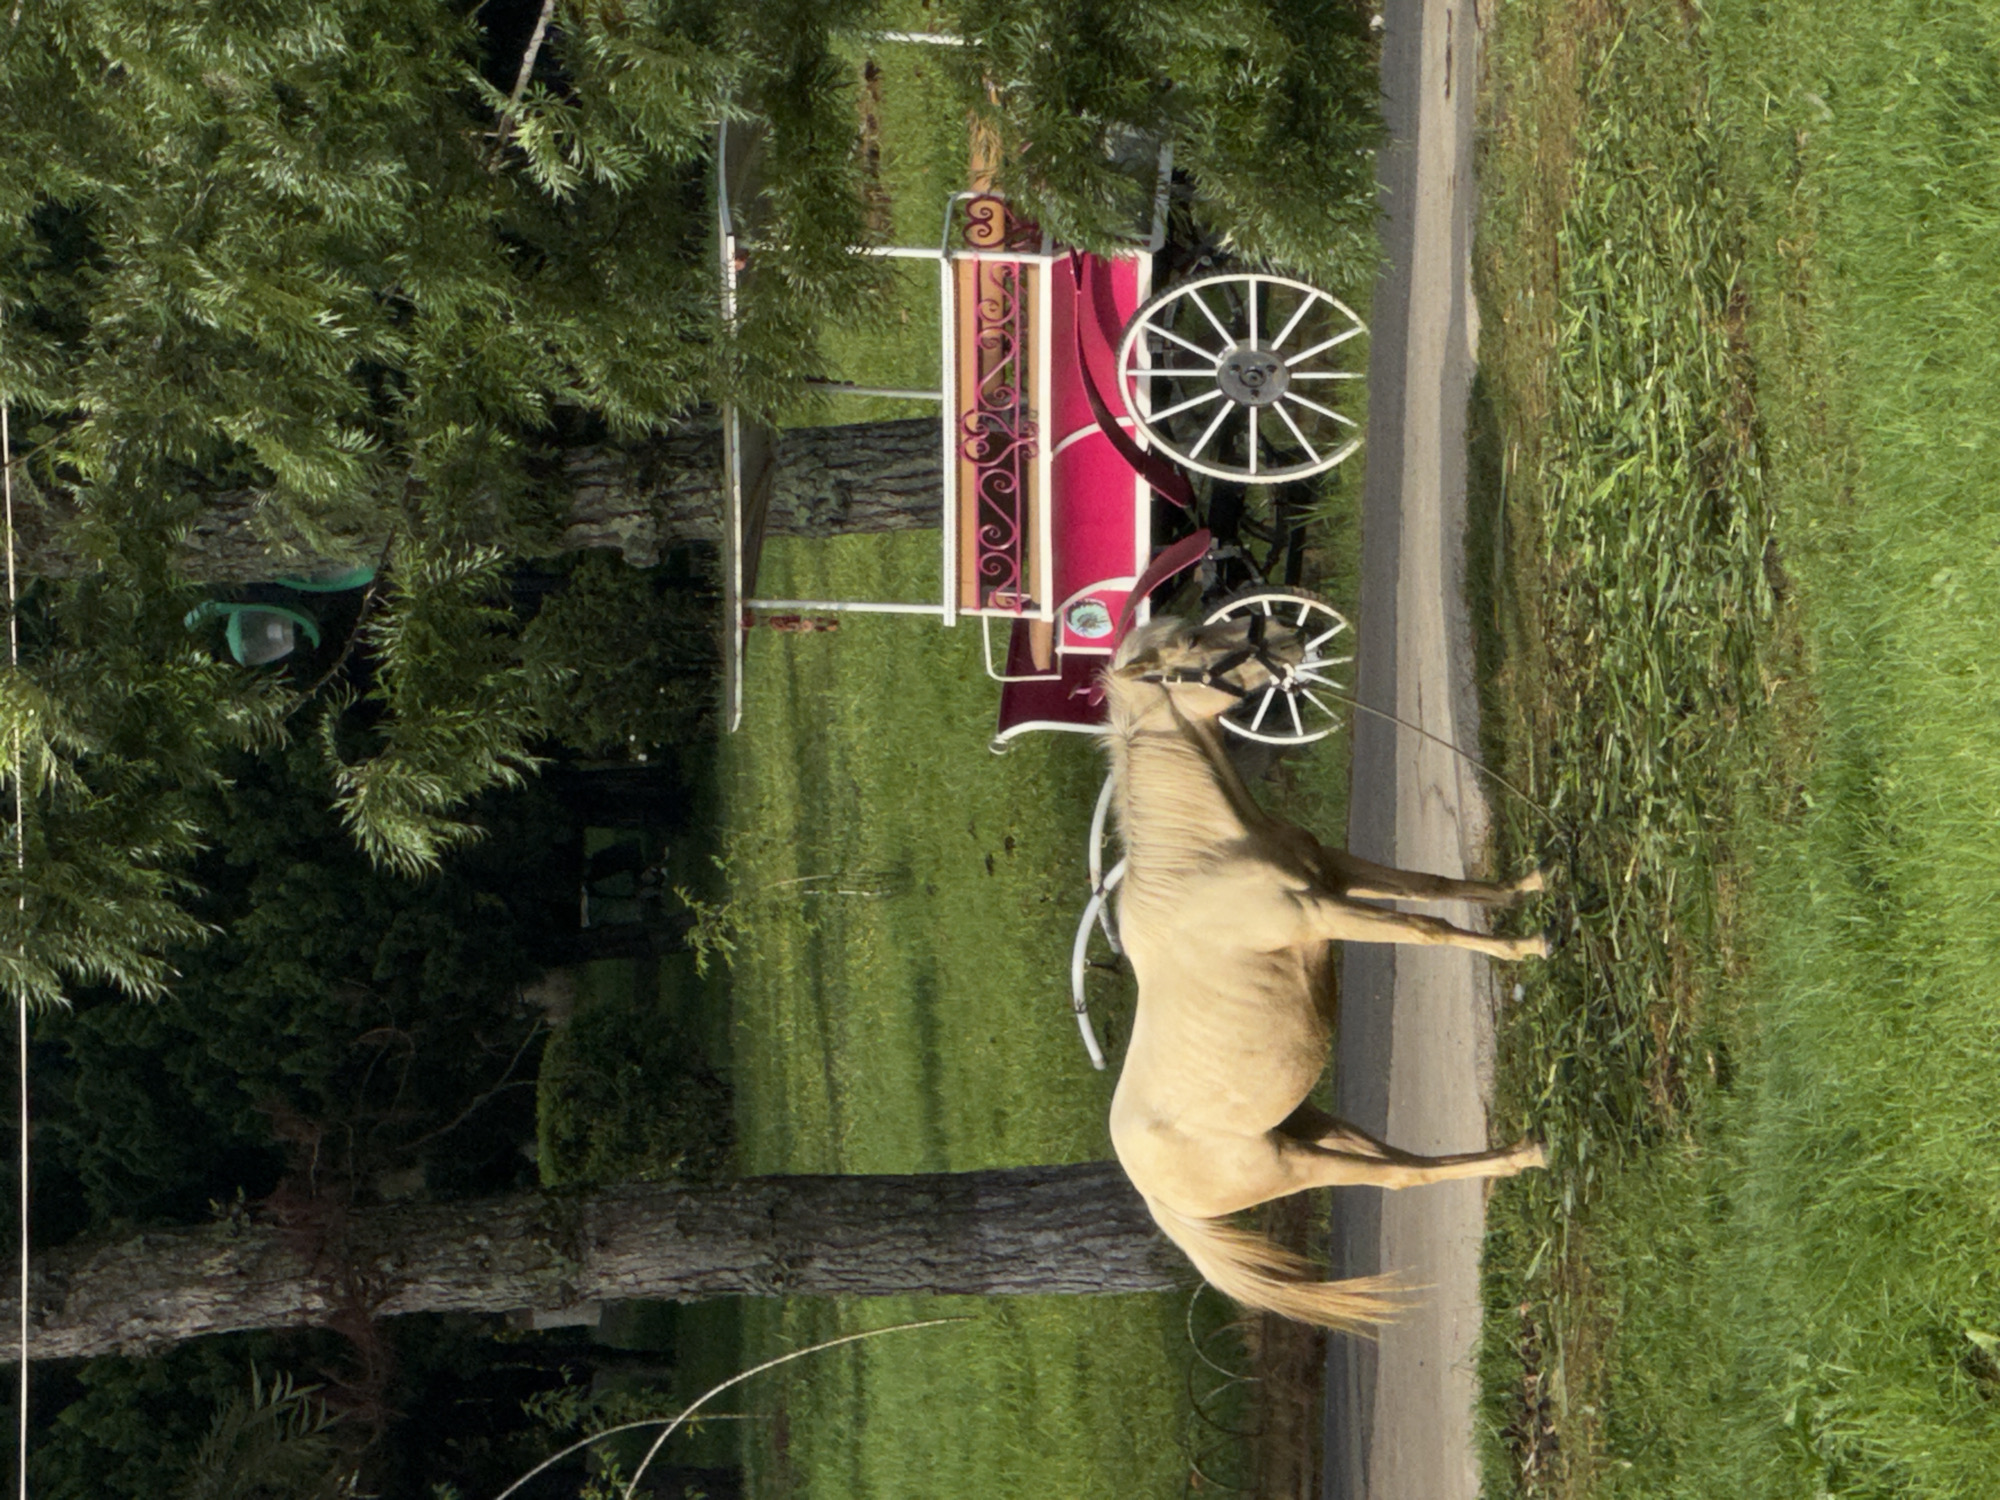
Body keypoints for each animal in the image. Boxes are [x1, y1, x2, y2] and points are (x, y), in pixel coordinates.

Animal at [1099, 613, 1550, 1330]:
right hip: (1292, 1163)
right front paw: (1528, 947)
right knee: (1399, 1176)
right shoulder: (1323, 913)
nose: (1283, 630)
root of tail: (1157, 1199)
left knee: (1397, 1160)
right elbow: (1427, 929)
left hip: (1313, 1125)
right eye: (1192, 642)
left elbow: (1433, 885)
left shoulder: (1338, 874)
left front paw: (1526, 887)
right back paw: (1524, 1155)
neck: (1207, 860)